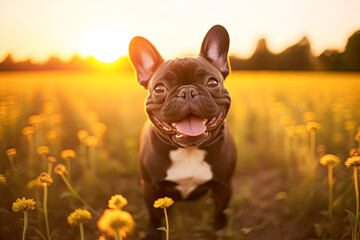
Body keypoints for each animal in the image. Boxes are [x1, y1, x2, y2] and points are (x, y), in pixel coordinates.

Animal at [129, 25, 236, 239]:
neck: (189, 150)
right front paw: (153, 233)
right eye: (159, 88)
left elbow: (219, 214)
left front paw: (219, 231)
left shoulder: (224, 186)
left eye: (213, 83)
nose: (187, 91)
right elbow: (154, 217)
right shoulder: (150, 187)